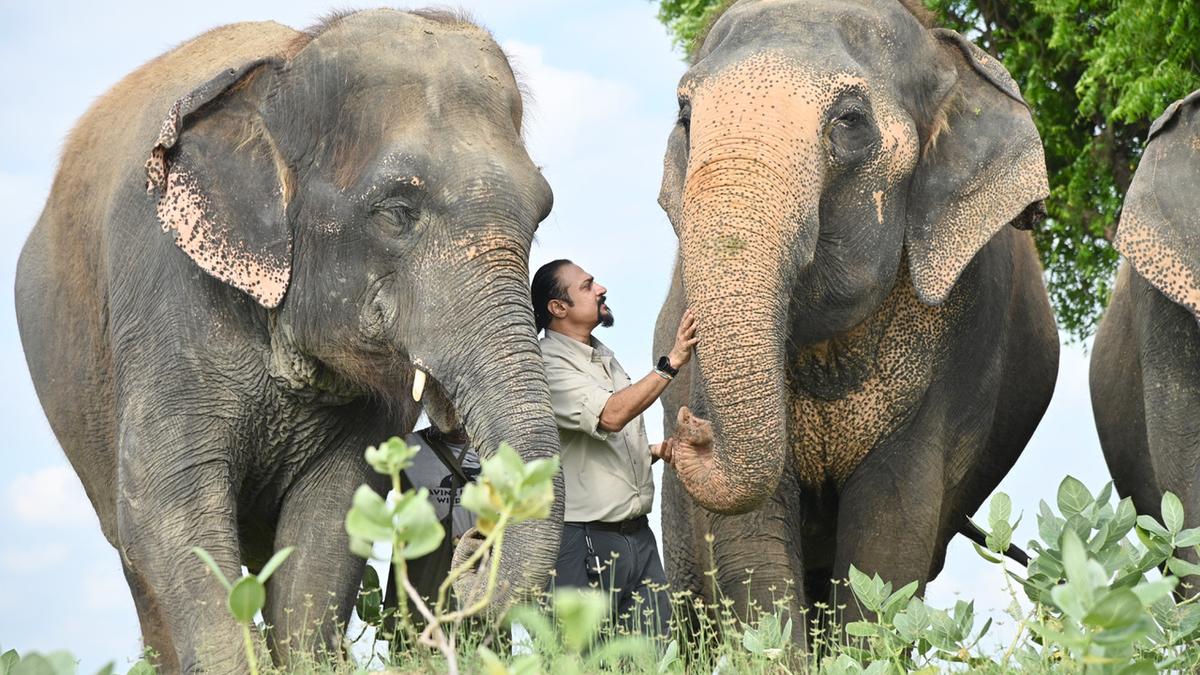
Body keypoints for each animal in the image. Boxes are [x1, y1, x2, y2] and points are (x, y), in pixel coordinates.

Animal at [17, 7, 561, 667]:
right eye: (397, 212)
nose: (469, 556)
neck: (285, 67)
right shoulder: (165, 298)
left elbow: (332, 517)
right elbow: (165, 504)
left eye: (541, 213)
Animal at [657, 0, 1060, 638]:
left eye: (850, 121)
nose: (691, 430)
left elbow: (889, 541)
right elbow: (750, 550)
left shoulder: (953, 361)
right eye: (685, 115)